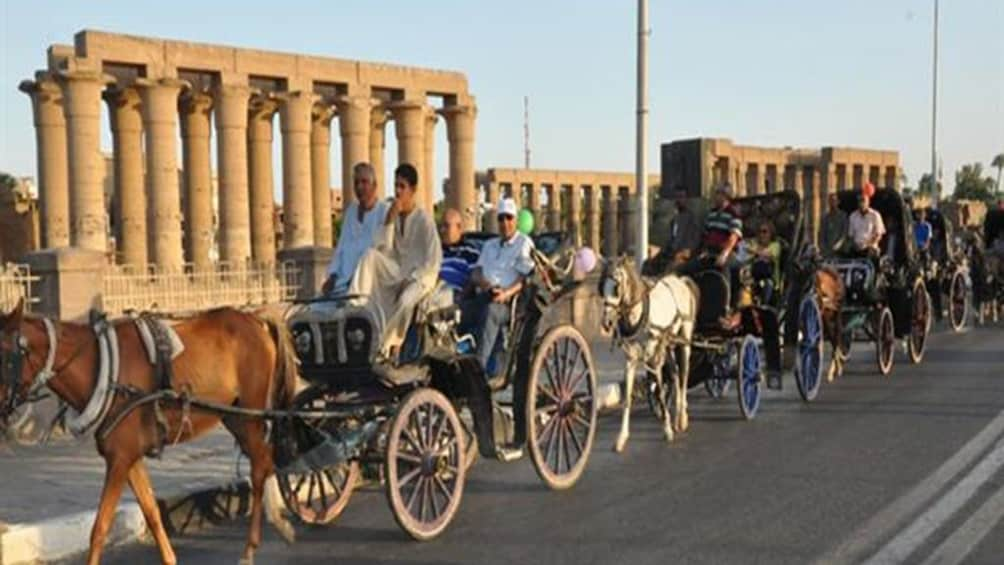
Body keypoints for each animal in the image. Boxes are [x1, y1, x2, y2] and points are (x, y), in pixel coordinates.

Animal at [0, 301, 297, 565]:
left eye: (4, 353)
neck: (105, 370)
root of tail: (255, 319)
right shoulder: (129, 458)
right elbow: (152, 512)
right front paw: (170, 558)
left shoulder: (120, 459)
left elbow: (100, 528)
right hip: (233, 416)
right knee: (264, 461)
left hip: (251, 412)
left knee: (260, 466)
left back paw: (253, 546)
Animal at [594, 258, 698, 453]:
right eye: (602, 286)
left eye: (617, 286)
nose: (606, 322)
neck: (637, 313)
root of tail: (680, 280)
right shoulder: (630, 358)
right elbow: (627, 398)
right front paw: (621, 438)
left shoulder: (653, 356)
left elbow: (660, 389)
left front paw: (667, 429)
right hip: (667, 342)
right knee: (674, 373)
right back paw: (677, 417)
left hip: (683, 338)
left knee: (684, 373)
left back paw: (681, 417)